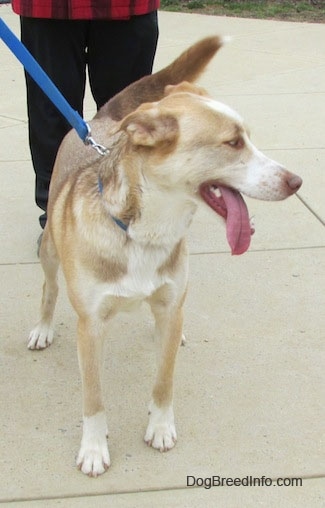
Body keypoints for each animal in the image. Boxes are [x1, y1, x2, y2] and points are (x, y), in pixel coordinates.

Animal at [27, 36, 302, 476]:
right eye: (233, 142)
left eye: (247, 138)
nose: (297, 182)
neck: (144, 232)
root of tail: (100, 120)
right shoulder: (91, 327)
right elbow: (93, 399)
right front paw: (93, 448)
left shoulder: (172, 305)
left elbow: (164, 379)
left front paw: (159, 427)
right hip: (50, 251)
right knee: (49, 288)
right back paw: (43, 327)